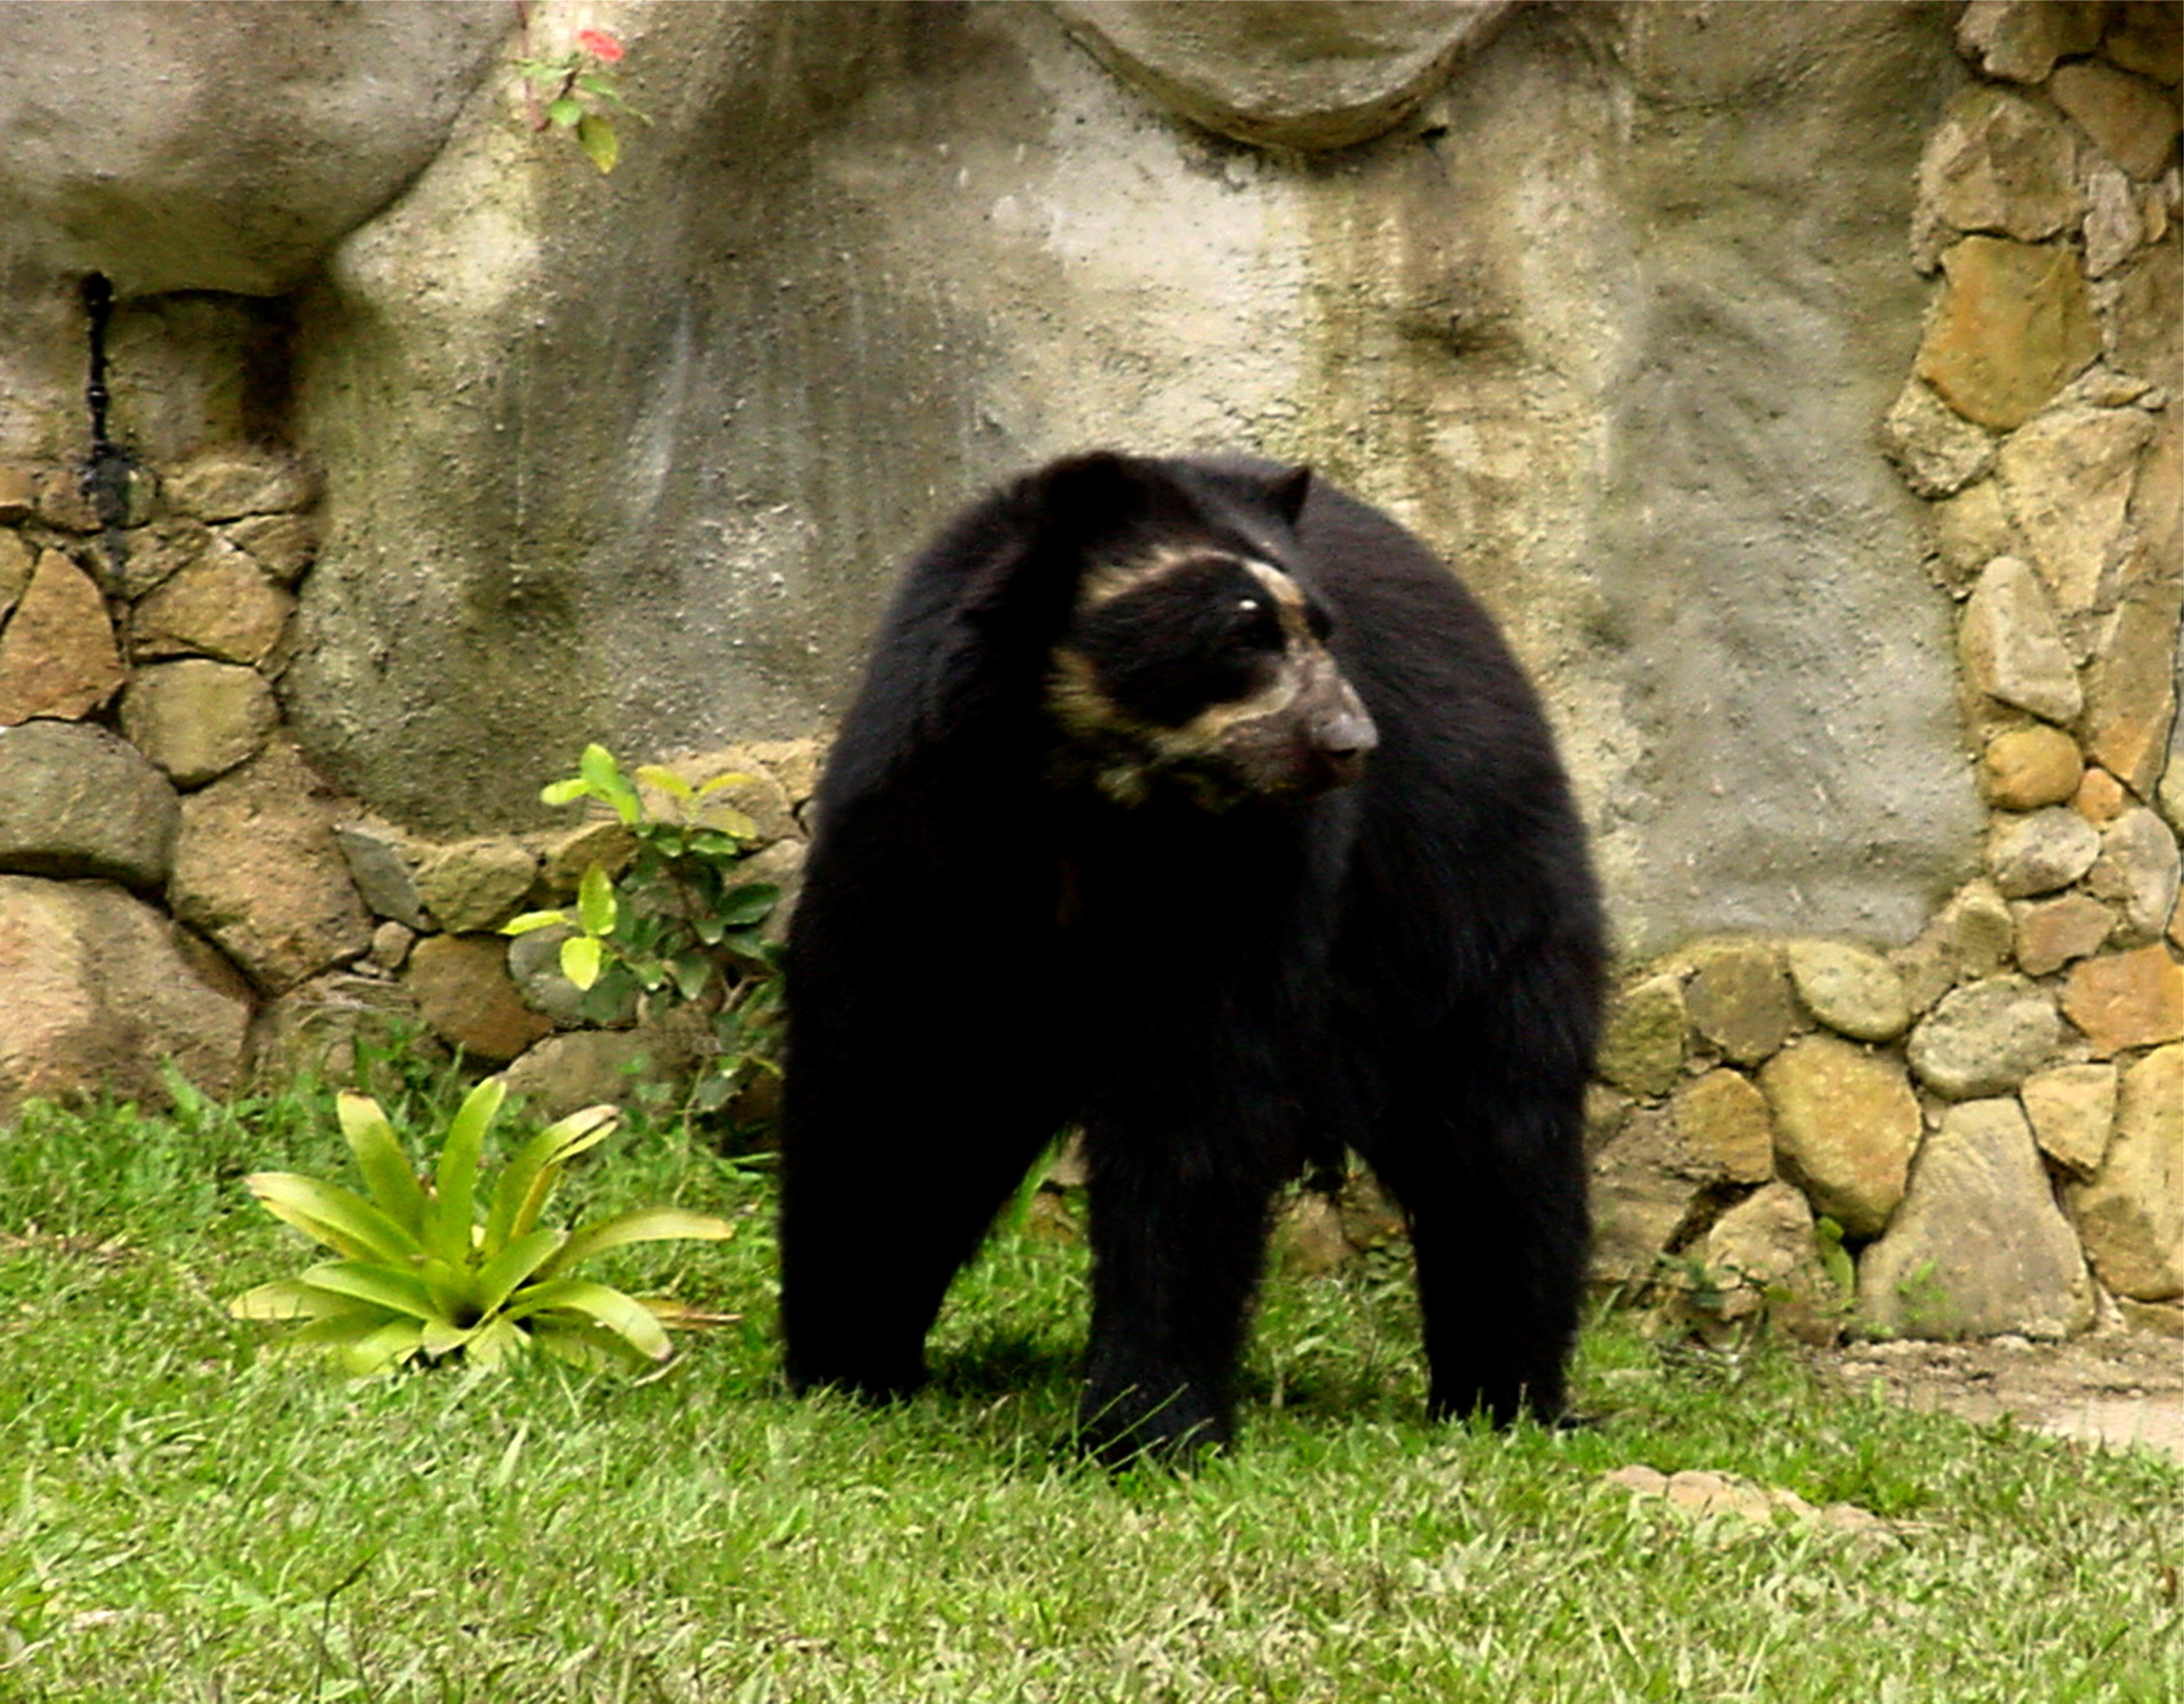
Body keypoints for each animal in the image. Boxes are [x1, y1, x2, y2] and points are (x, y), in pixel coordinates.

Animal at [778, 452, 1599, 1468]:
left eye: (1321, 631)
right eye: (1244, 634)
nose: (1350, 744)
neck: (1086, 801)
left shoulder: (1246, 873)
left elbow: (1195, 1104)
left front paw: (1146, 1423)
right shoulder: (920, 824)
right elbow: (893, 1078)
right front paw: (844, 1365)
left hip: (1468, 901)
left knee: (1500, 1138)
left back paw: (1505, 1394)